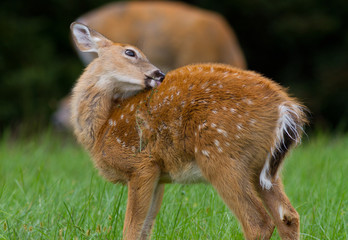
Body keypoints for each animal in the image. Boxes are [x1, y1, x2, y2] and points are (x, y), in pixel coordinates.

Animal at [70, 21, 308, 239]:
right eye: (130, 52)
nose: (159, 73)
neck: (102, 129)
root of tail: (286, 108)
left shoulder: (140, 164)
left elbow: (131, 230)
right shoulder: (158, 174)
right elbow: (145, 228)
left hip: (222, 156)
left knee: (258, 222)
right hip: (263, 169)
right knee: (288, 216)